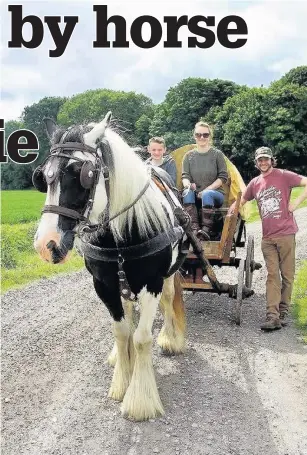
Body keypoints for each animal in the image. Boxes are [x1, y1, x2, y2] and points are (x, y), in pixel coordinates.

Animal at [33, 112, 188, 422]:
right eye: (44, 177)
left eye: (83, 173)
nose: (46, 244)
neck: (122, 234)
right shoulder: (103, 284)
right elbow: (121, 331)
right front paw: (122, 379)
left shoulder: (152, 283)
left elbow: (142, 338)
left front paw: (139, 400)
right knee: (127, 313)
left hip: (168, 275)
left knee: (168, 300)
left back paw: (169, 338)